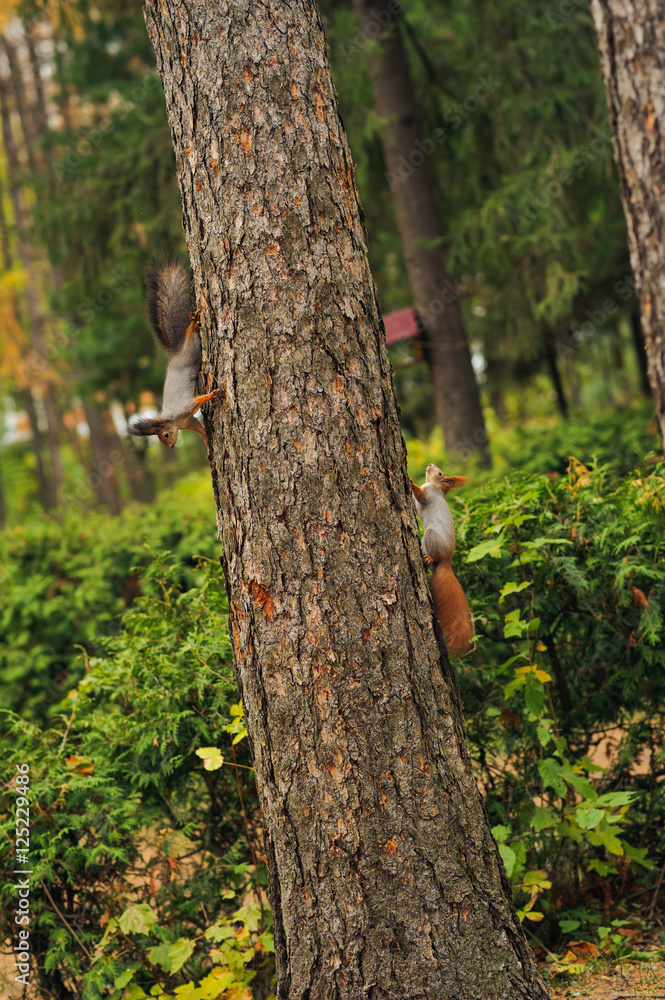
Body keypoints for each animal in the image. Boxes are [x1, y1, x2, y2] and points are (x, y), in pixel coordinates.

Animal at [129, 259, 221, 448]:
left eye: (164, 434)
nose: (171, 446)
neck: (173, 419)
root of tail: (176, 353)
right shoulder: (188, 421)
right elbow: (199, 427)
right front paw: (206, 439)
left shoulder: (183, 408)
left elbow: (199, 400)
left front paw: (211, 395)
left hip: (192, 350)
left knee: (191, 335)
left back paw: (193, 324)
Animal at [410, 464, 474, 658]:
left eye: (439, 473)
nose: (430, 465)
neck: (437, 488)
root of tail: (446, 561)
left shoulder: (428, 495)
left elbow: (420, 494)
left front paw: (410, 481)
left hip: (431, 536)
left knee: (433, 556)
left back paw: (429, 557)